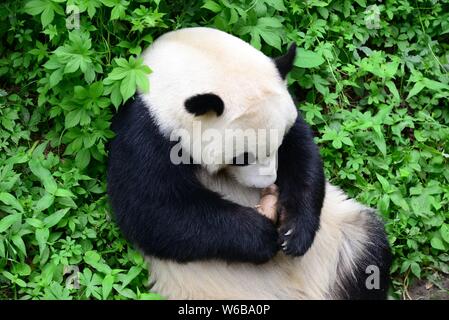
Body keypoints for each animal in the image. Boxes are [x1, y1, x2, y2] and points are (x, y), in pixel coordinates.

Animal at [107, 27, 390, 300]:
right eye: (242, 157)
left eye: (278, 143)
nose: (267, 181)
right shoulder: (147, 129)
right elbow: (154, 210)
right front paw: (263, 237)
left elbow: (303, 155)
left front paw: (294, 232)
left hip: (339, 238)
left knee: (370, 255)